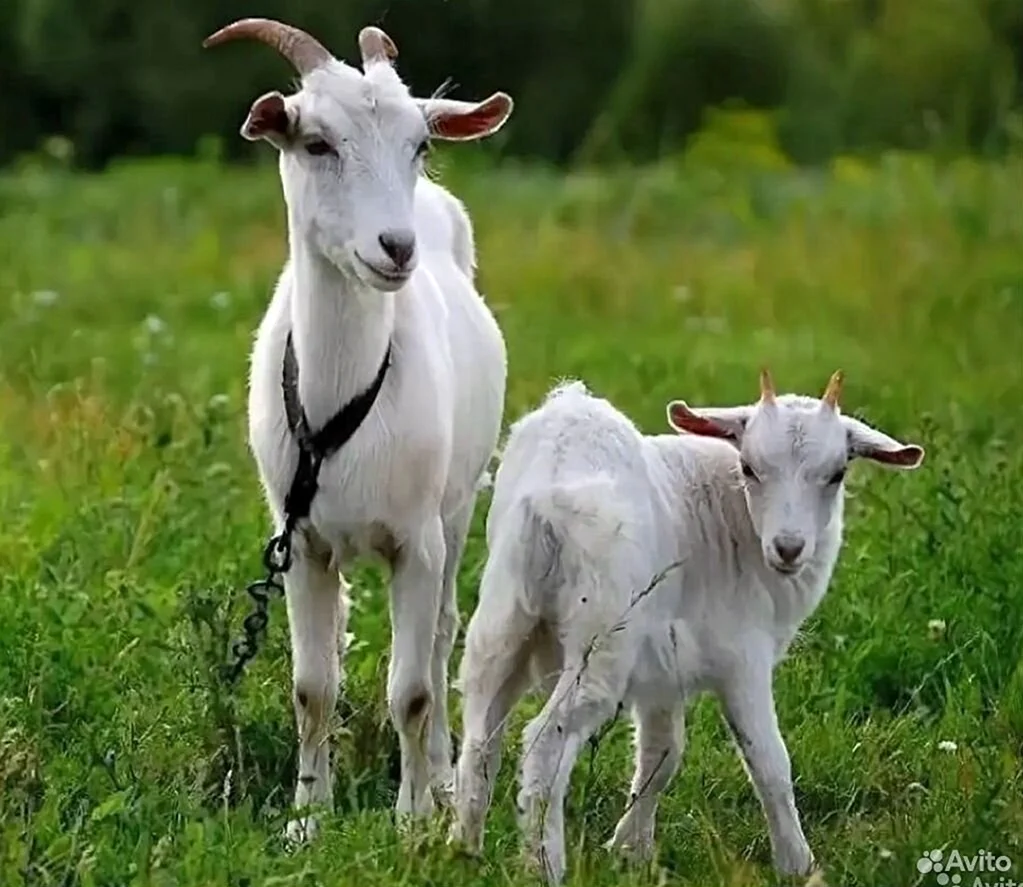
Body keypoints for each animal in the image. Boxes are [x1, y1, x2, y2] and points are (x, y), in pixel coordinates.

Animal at [203, 18, 513, 839]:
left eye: (420, 144)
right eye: (316, 143)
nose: (395, 248)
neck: (342, 399)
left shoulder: (416, 541)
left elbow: (412, 689)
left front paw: (411, 820)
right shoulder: (302, 543)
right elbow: (312, 685)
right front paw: (308, 817)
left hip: (456, 510)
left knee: (439, 641)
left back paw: (442, 777)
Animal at [449, 369, 924, 883]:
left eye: (837, 474)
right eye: (749, 468)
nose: (789, 547)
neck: (734, 522)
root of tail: (547, 498)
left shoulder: (664, 668)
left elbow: (662, 754)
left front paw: (630, 851)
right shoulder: (742, 657)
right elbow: (769, 762)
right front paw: (799, 865)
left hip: (503, 618)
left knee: (479, 737)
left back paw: (463, 850)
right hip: (602, 635)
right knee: (544, 742)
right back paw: (545, 866)